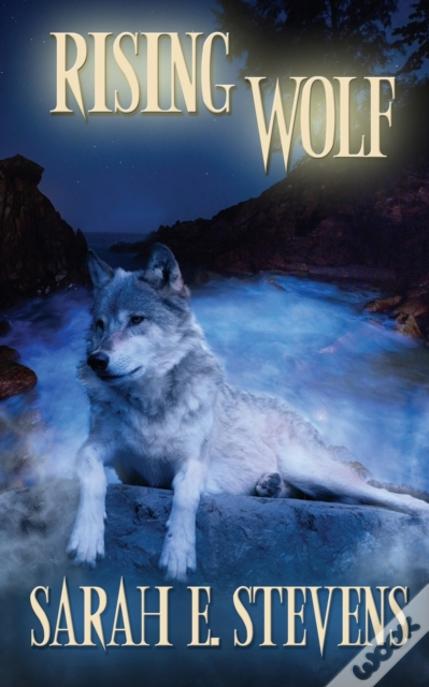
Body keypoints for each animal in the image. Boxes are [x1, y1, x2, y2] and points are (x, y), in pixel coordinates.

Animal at [68, 244, 429, 580]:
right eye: (100, 325)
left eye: (136, 320)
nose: (96, 360)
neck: (150, 405)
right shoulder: (95, 451)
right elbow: (93, 479)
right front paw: (86, 538)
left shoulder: (193, 462)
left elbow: (184, 498)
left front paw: (178, 553)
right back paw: (269, 486)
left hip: (311, 470)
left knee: (376, 495)